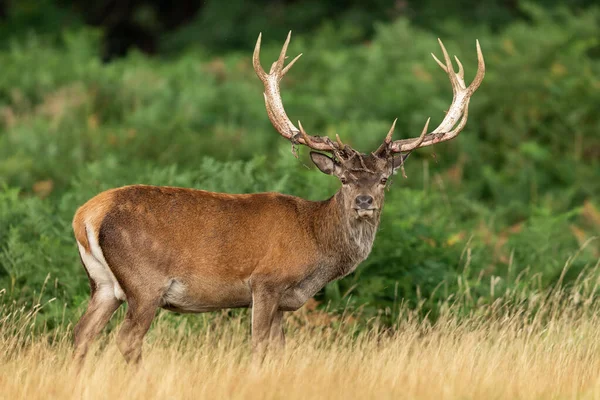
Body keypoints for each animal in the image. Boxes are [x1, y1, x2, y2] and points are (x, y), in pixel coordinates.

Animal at [71, 30, 482, 362]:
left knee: (81, 334)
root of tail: (86, 215)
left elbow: (280, 351)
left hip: (103, 285)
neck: (316, 245)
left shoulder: (286, 302)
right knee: (126, 339)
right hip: (145, 281)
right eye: (345, 180)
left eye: (383, 180)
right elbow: (258, 347)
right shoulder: (265, 282)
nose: (365, 202)